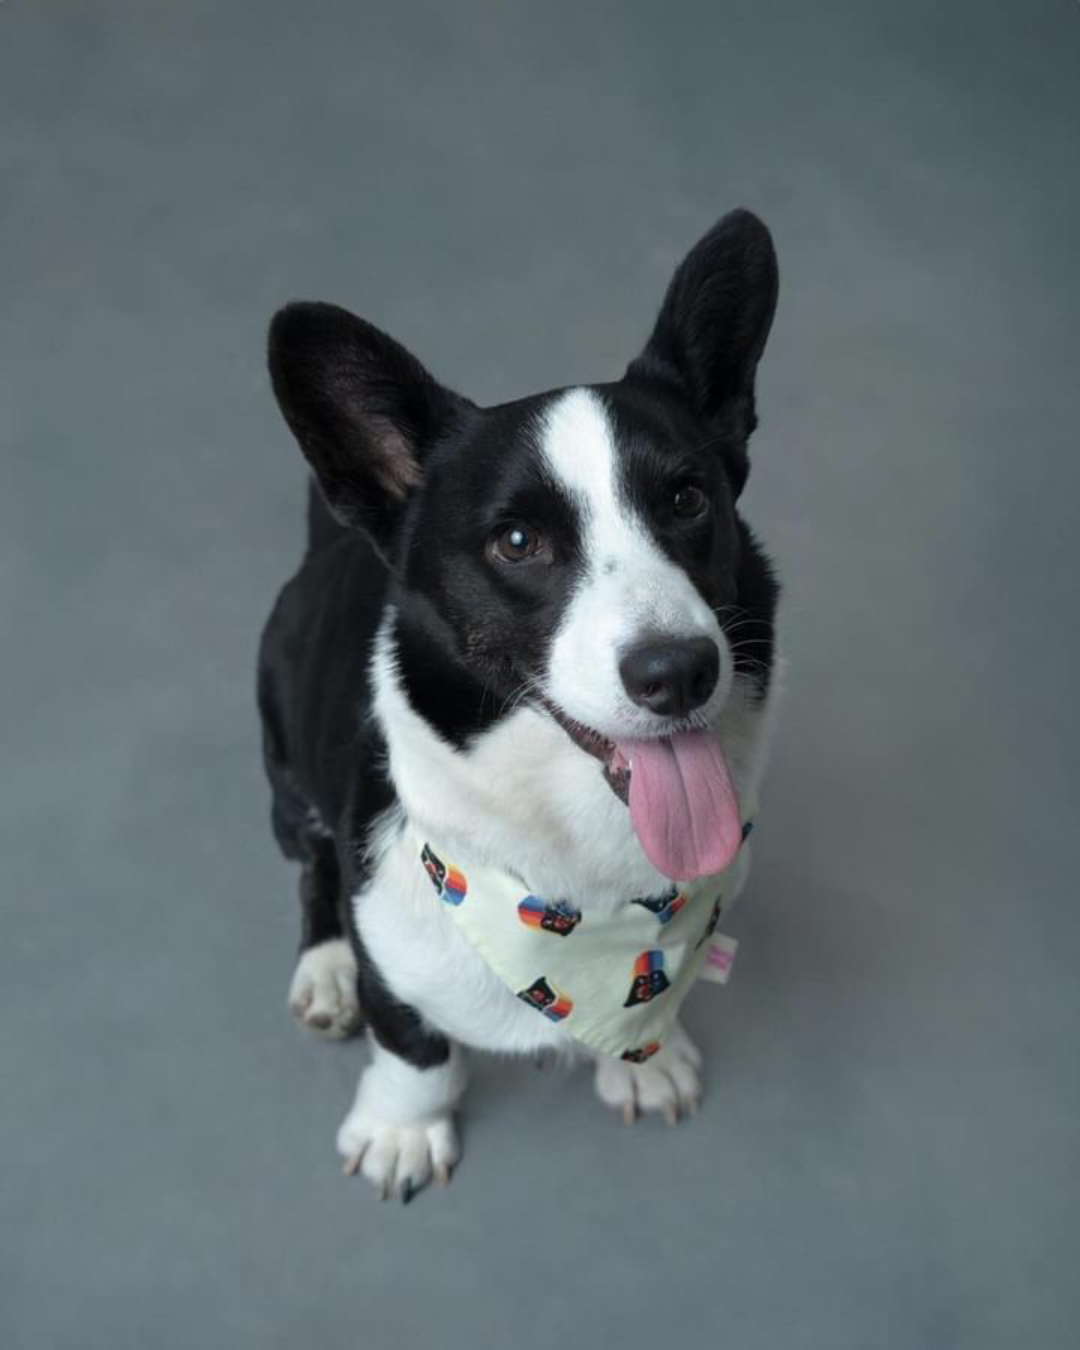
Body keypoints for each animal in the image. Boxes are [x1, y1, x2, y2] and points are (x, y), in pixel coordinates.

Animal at [257, 205, 783, 1198]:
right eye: (515, 541)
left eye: (689, 499)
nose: (680, 671)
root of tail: (328, 542)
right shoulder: (394, 935)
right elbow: (410, 1042)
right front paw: (401, 1130)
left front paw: (646, 1063)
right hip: (286, 782)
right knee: (312, 872)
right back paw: (327, 971)